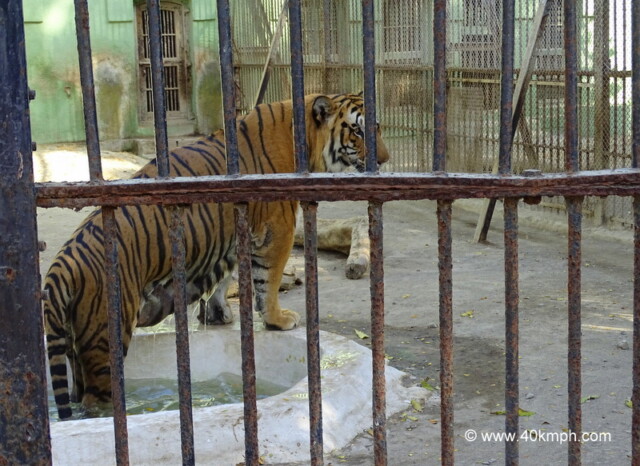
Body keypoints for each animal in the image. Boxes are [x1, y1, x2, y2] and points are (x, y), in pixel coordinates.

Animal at [43, 92, 390, 420]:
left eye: (377, 127)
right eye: (357, 132)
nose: (385, 160)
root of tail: (63, 265)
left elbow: (226, 276)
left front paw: (217, 313)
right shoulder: (277, 229)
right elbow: (267, 281)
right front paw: (277, 319)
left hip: (77, 341)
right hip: (104, 335)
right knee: (96, 399)